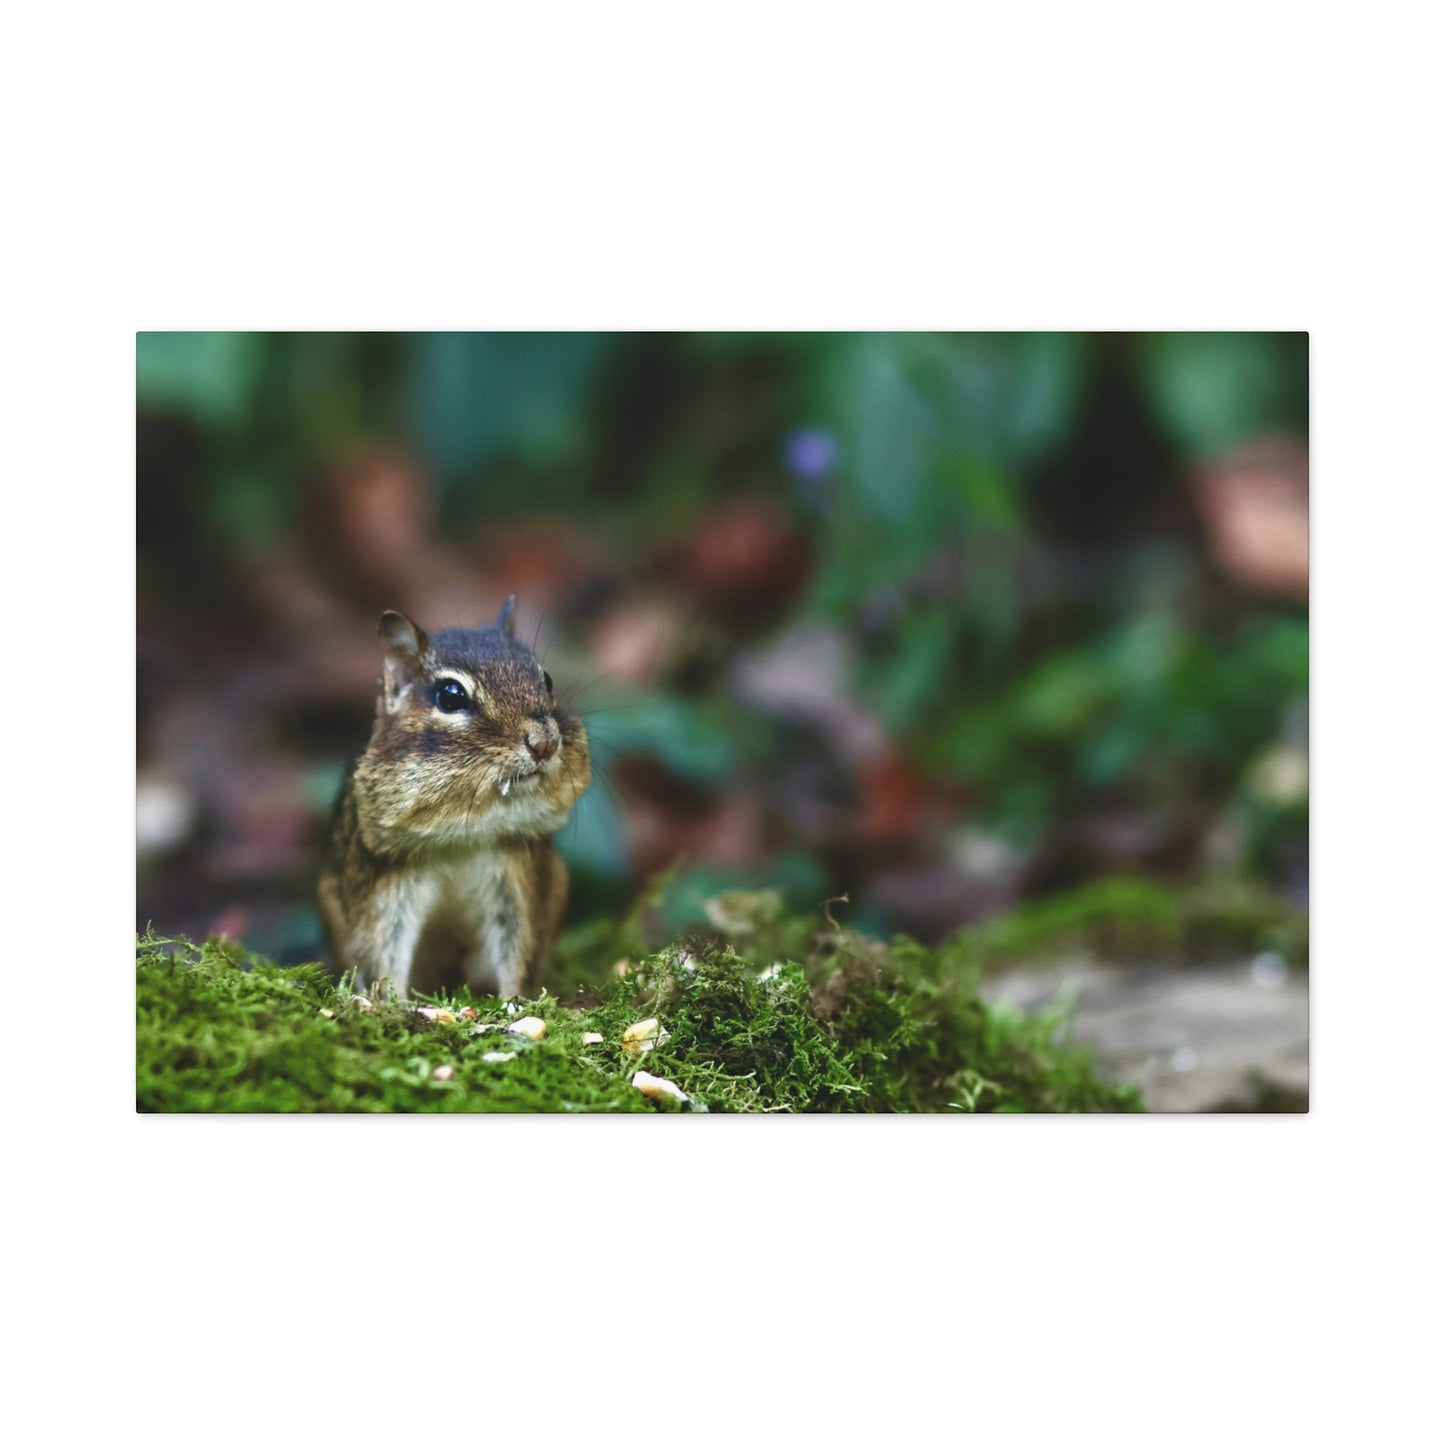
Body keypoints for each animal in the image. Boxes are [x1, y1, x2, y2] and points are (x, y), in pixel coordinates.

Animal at [318, 596, 590, 1000]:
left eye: (547, 680)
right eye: (451, 695)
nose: (544, 743)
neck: (463, 836)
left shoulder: (518, 875)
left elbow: (520, 944)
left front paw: (516, 1003)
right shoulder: (384, 883)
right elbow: (382, 948)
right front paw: (389, 1003)